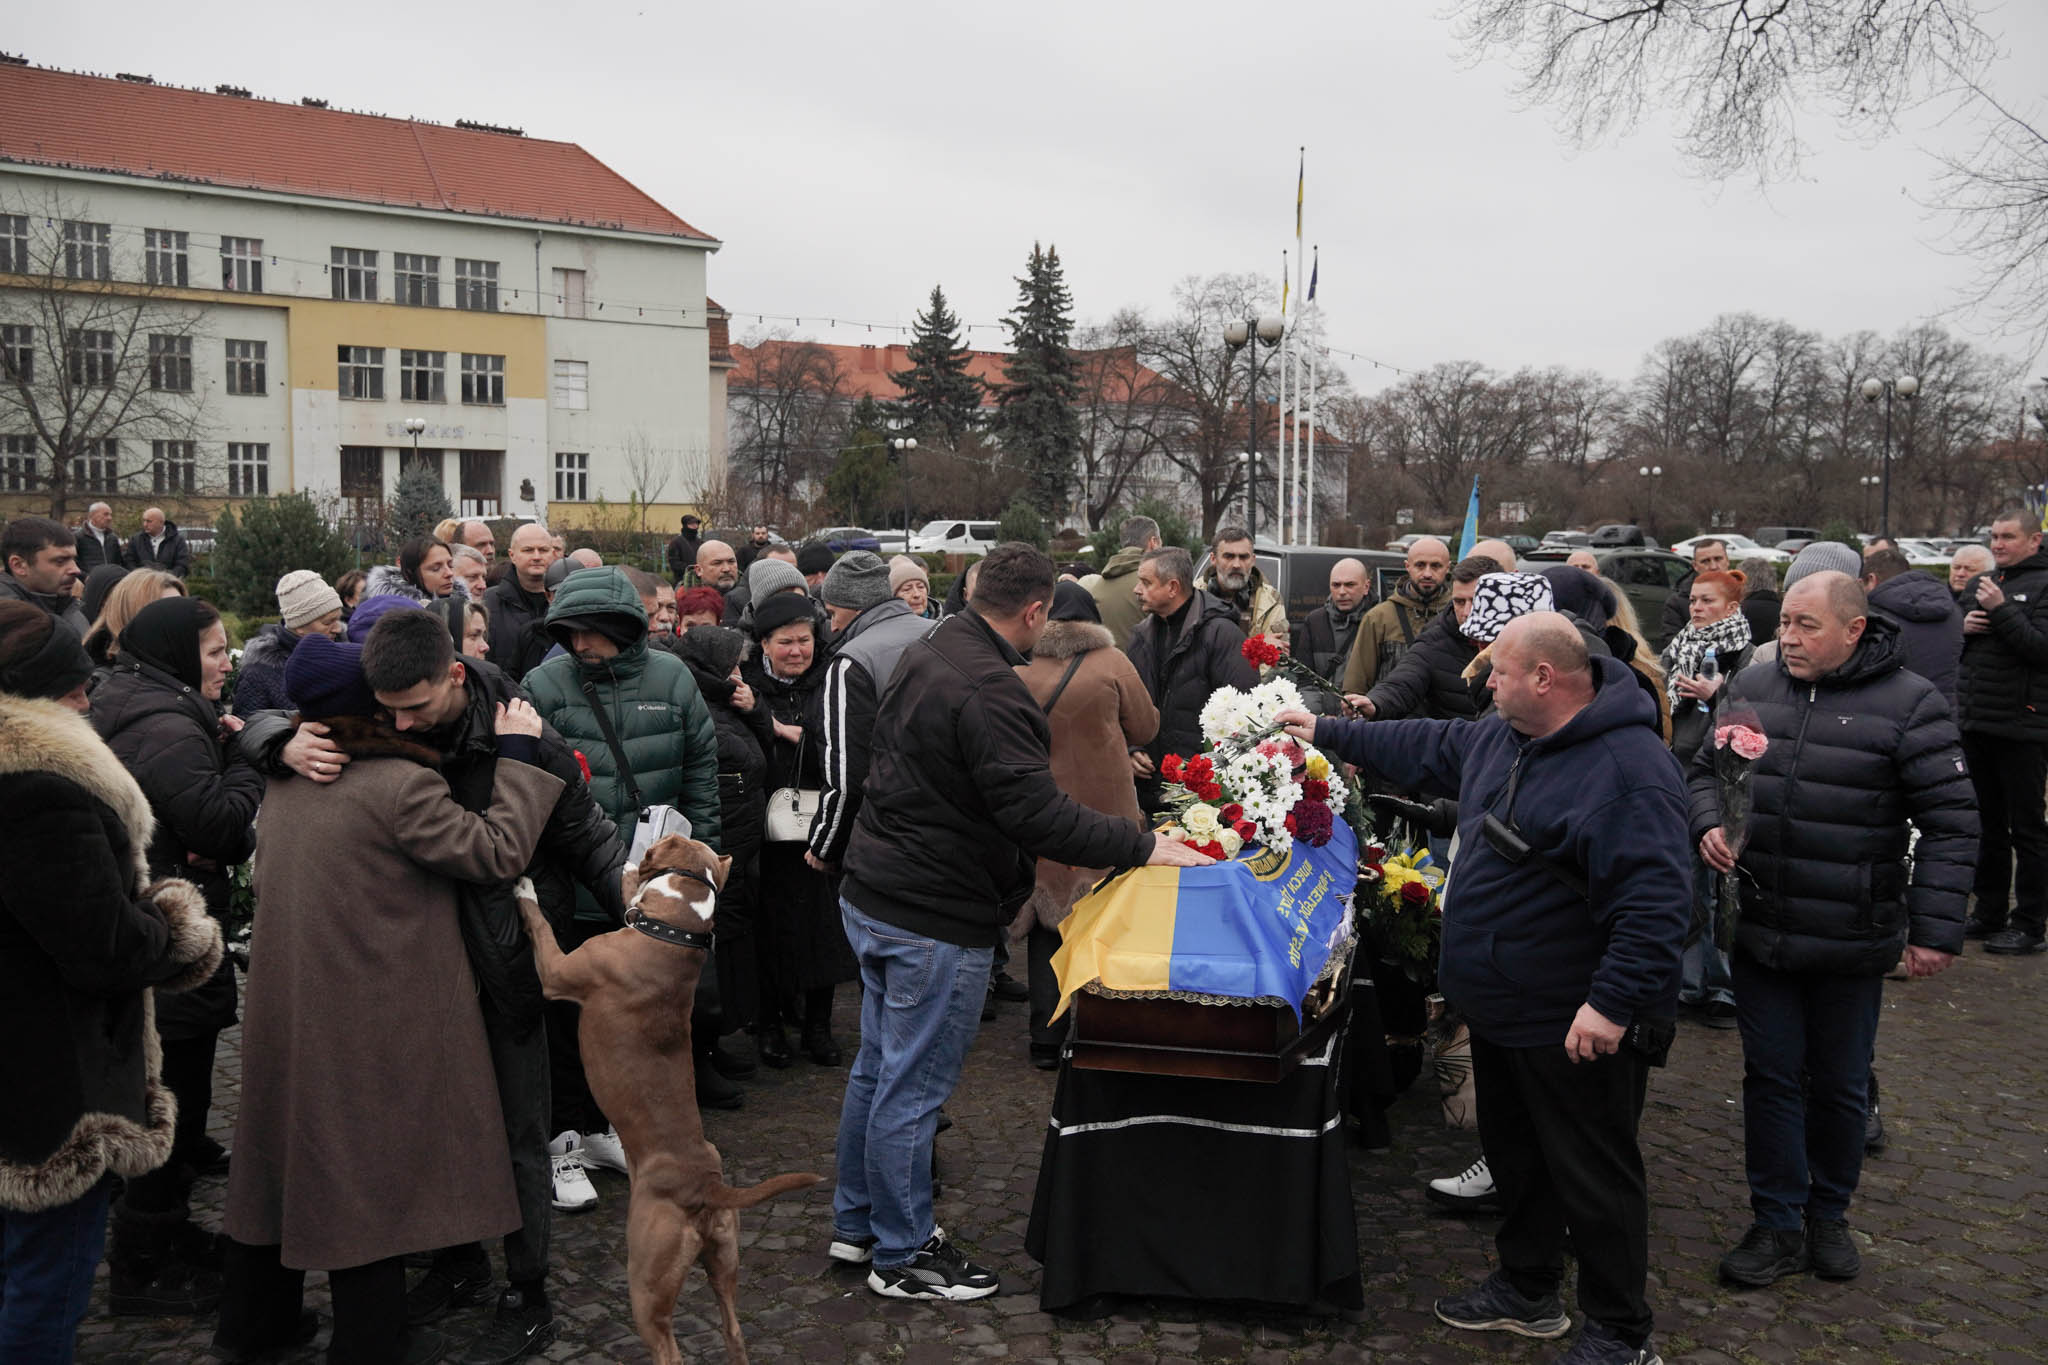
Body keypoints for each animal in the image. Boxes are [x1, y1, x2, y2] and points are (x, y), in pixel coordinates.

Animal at [516, 834, 819, 1365]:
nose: (633, 852)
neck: (674, 933)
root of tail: (706, 1187)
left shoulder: (557, 971)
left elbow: (540, 924)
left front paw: (525, 887)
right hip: (724, 1262)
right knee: (734, 1330)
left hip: (645, 1282)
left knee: (668, 1348)